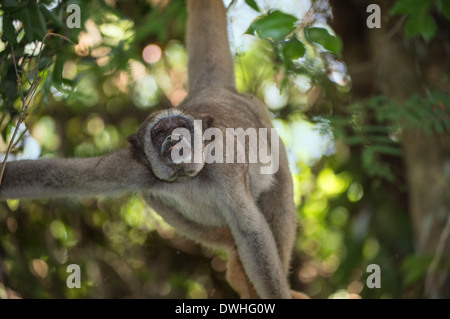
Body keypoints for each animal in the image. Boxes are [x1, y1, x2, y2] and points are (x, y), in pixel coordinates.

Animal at [0, 0, 310, 300]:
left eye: (181, 126)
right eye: (160, 132)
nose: (174, 138)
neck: (187, 177)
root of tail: (214, 91)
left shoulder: (224, 163)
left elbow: (252, 231)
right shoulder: (135, 168)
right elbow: (51, 176)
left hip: (269, 133)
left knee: (278, 191)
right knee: (159, 201)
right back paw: (233, 258)